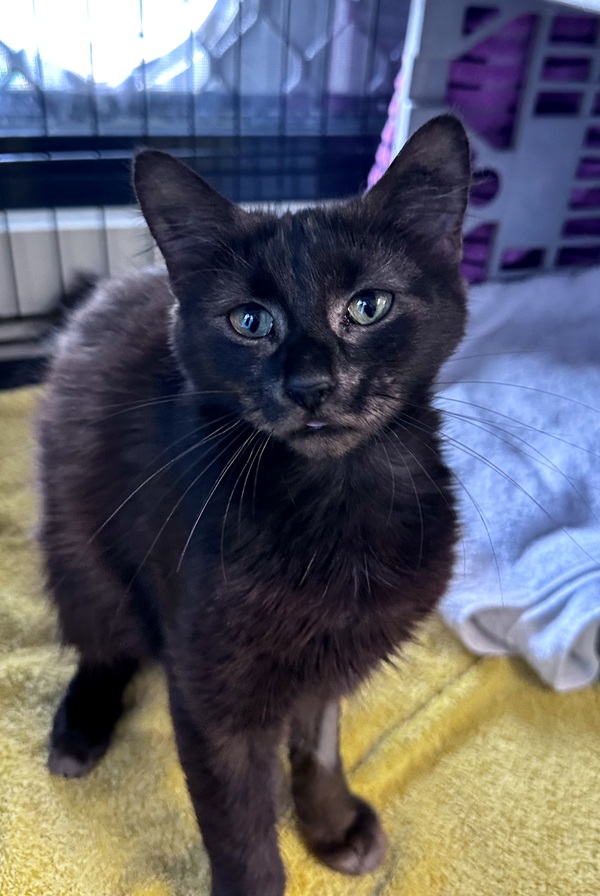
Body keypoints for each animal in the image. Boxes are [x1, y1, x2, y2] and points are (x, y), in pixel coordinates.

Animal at [37, 114, 471, 896]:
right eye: (249, 321)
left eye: (369, 306)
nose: (310, 385)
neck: (336, 500)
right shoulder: (211, 687)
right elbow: (237, 823)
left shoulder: (331, 655)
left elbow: (320, 739)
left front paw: (329, 823)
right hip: (77, 549)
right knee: (103, 641)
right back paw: (79, 729)